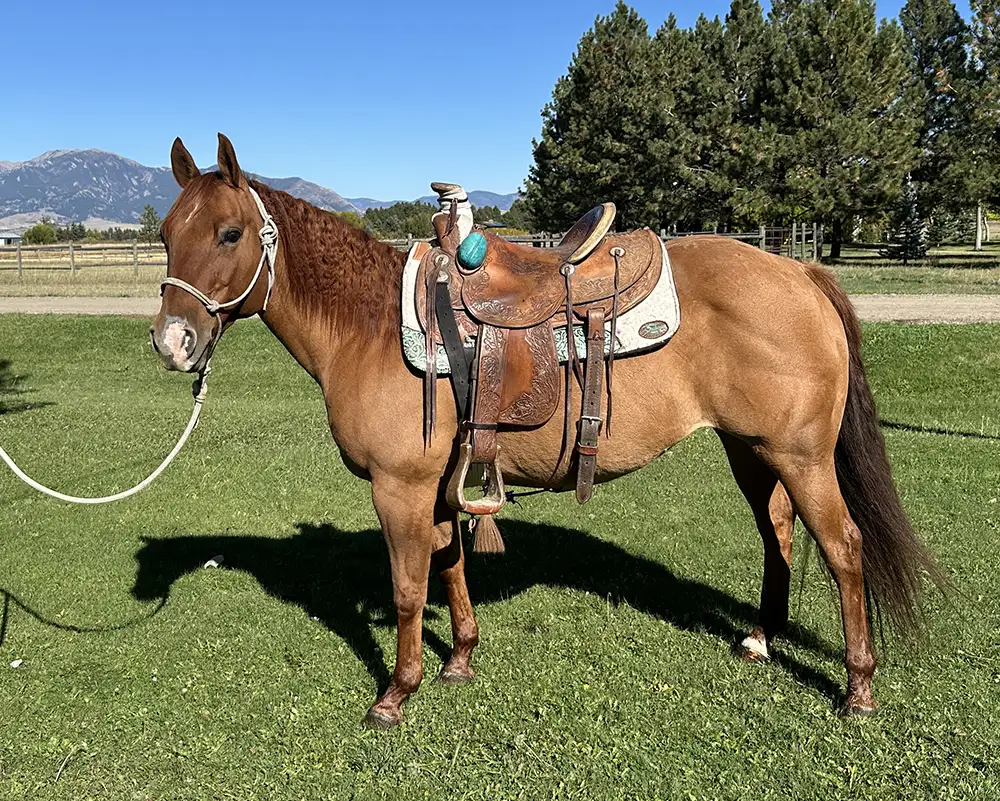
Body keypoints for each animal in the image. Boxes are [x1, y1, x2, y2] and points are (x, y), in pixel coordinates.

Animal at [150, 133, 940, 729]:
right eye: (164, 235)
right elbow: (450, 565)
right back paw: (761, 638)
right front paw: (460, 660)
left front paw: (395, 695)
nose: (171, 342)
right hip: (753, 452)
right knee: (778, 533)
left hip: (801, 456)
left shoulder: (399, 489)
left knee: (843, 547)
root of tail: (799, 271)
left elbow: (408, 588)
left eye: (229, 233)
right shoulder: (442, 486)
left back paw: (858, 686)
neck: (369, 328)